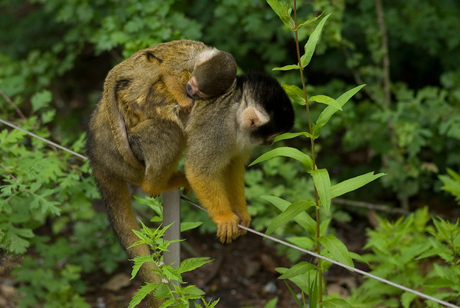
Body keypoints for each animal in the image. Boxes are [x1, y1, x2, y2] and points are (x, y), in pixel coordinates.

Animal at [104, 39, 237, 170]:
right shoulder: (188, 56)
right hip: (137, 68)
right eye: (193, 85)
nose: (191, 91)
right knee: (155, 67)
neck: (201, 52)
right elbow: (166, 70)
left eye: (200, 93)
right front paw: (185, 101)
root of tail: (122, 65)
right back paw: (132, 102)